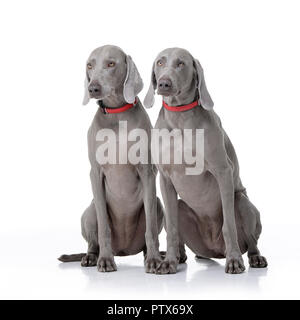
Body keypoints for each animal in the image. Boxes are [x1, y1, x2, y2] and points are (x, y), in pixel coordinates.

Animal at [58, 46, 162, 274]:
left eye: (111, 64)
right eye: (89, 65)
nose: (93, 88)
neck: (116, 113)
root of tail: (123, 250)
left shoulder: (147, 171)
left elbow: (150, 228)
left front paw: (154, 260)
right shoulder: (95, 172)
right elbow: (103, 227)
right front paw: (105, 260)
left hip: (159, 205)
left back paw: (154, 255)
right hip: (88, 212)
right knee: (93, 240)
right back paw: (91, 257)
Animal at [144, 48, 268, 276]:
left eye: (181, 63)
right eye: (160, 62)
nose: (164, 83)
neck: (180, 117)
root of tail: (213, 249)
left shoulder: (223, 171)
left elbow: (229, 226)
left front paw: (234, 261)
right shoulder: (165, 178)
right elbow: (172, 229)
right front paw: (169, 262)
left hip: (242, 202)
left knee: (251, 240)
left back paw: (254, 257)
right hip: (178, 208)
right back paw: (180, 256)